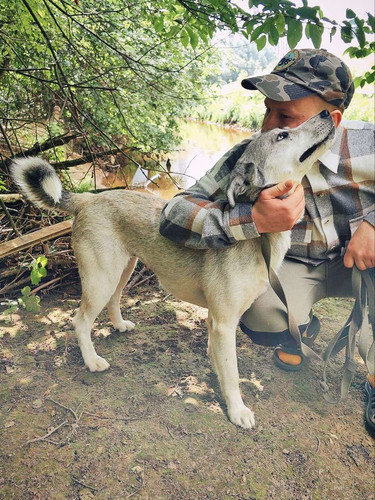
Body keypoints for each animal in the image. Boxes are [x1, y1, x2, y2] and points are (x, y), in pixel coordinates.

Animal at [11, 111, 334, 428]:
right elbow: (231, 374)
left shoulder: (218, 320)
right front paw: (237, 410)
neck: (259, 236)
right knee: (80, 321)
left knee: (114, 301)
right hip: (102, 277)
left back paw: (119, 325)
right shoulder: (225, 322)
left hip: (123, 269)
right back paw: (92, 361)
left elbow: (219, 358)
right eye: (282, 135)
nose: (328, 113)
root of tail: (88, 198)